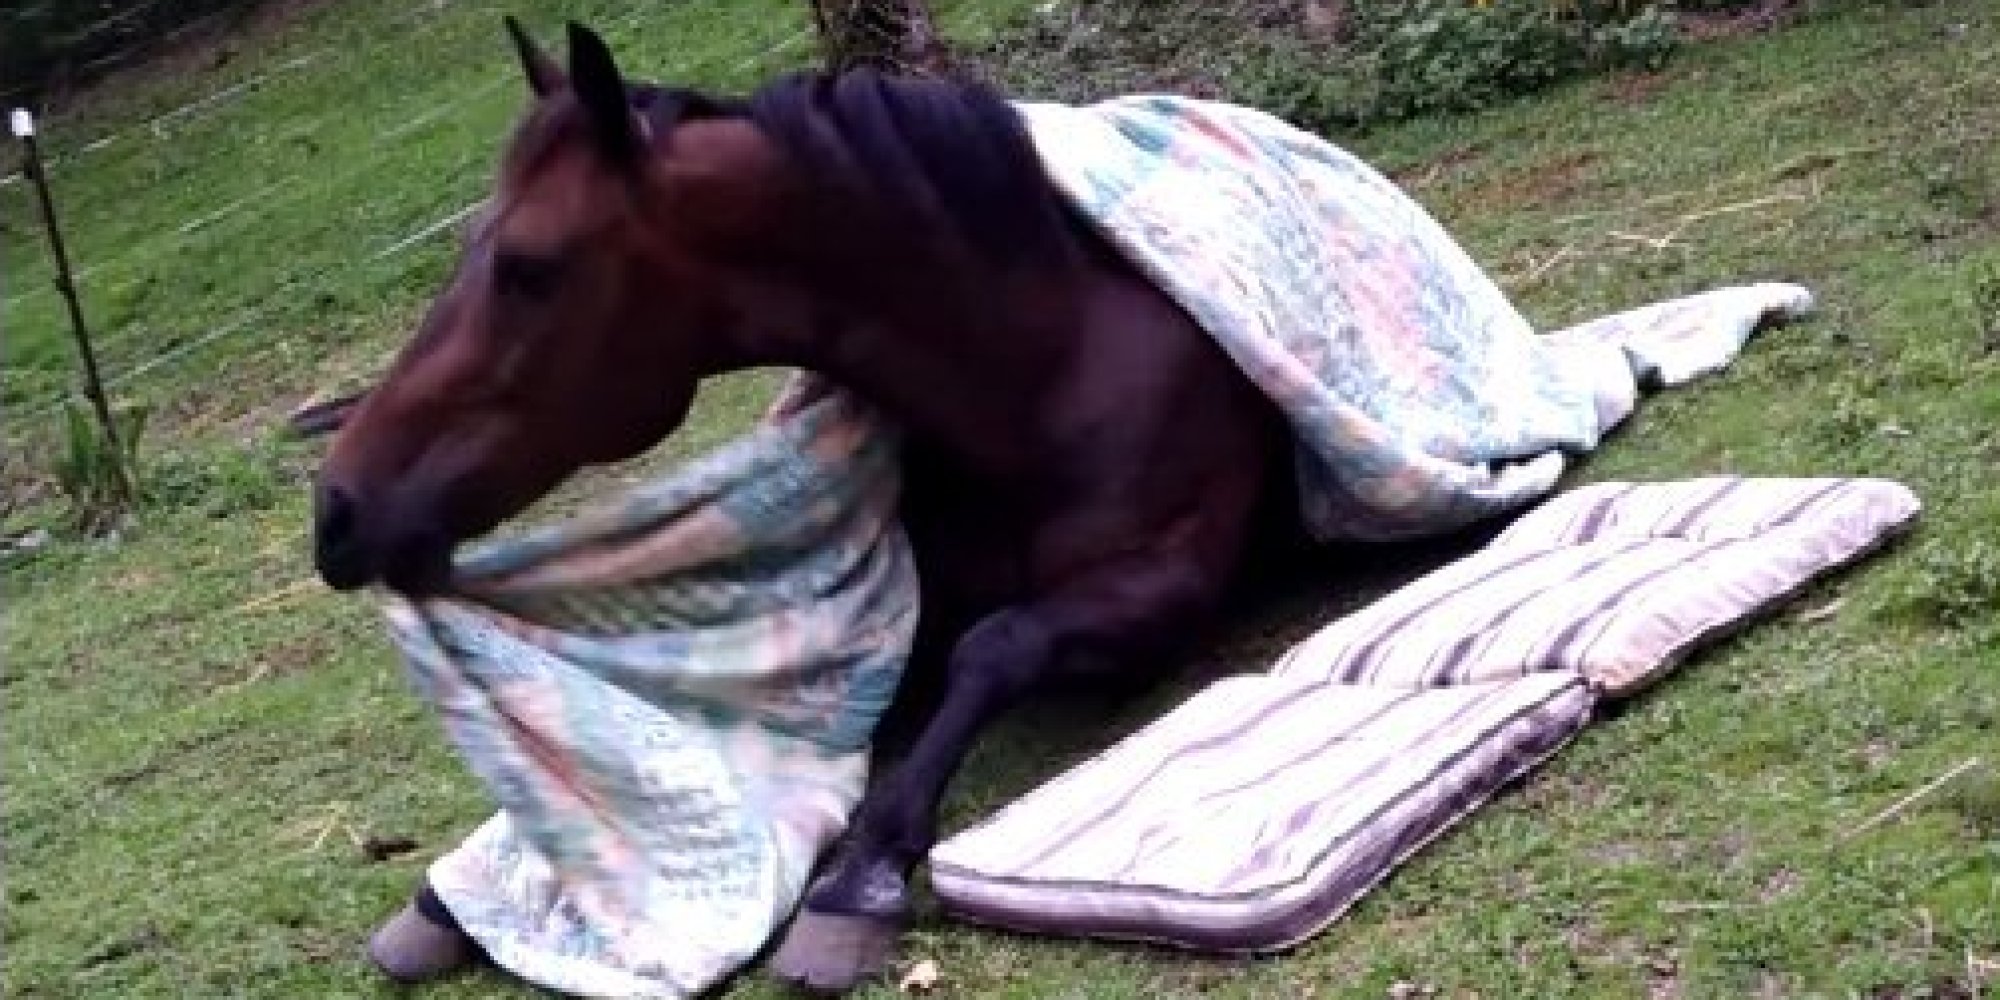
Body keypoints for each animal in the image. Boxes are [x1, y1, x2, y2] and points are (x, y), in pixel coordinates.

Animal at [311, 19, 1310, 993]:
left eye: (528, 268)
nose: (337, 509)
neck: (1051, 365)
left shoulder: (1170, 579)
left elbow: (997, 647)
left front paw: (858, 877)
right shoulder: (899, 595)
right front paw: (457, 893)